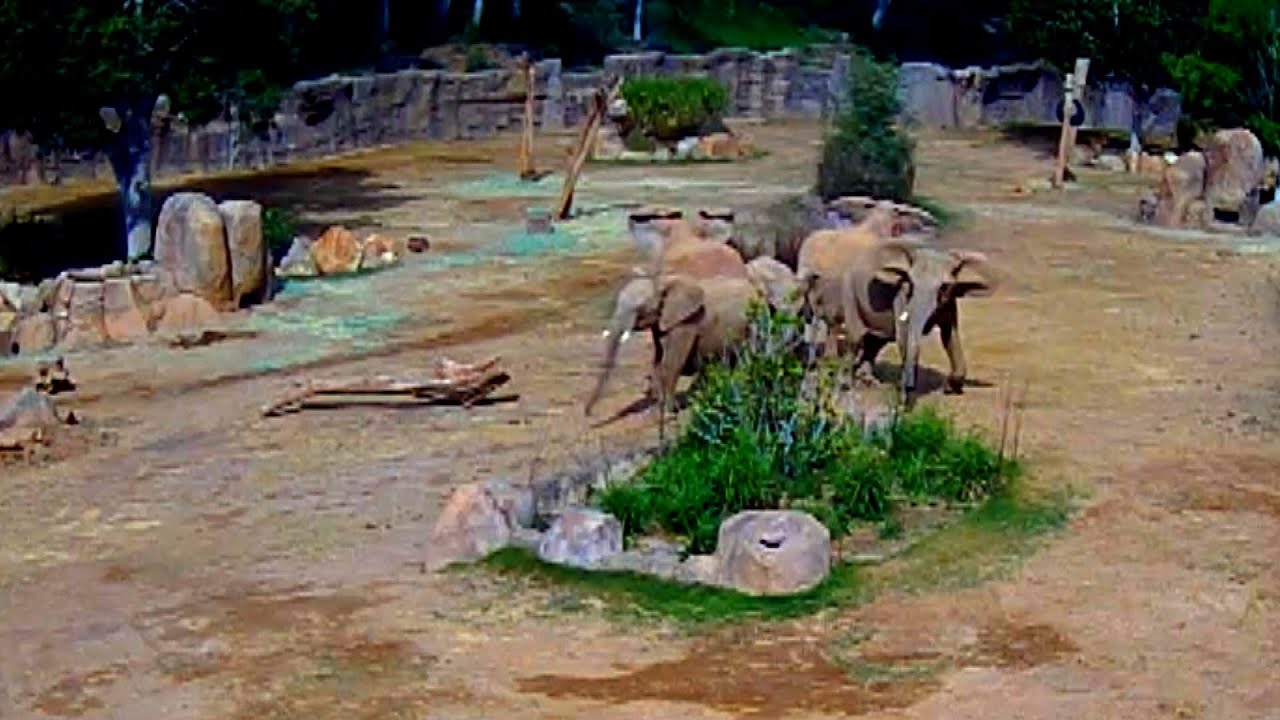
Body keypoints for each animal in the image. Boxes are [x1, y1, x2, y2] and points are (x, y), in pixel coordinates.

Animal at [584, 272, 758, 417]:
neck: (664, 280)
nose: (588, 413)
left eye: (640, 307)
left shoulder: (687, 322)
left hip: (753, 321)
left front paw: (668, 412)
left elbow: (672, 362)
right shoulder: (661, 323)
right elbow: (658, 359)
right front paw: (657, 410)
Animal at [838, 236, 1000, 403]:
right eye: (910, 282)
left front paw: (949, 388)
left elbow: (949, 335)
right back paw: (847, 384)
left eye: (944, 287)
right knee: (855, 339)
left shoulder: (949, 300)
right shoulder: (901, 295)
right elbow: (904, 336)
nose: (906, 391)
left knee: (875, 342)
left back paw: (868, 381)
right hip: (849, 293)